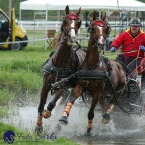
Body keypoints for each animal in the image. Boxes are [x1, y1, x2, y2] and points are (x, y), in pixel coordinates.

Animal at [34, 5, 86, 133]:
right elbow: (41, 105)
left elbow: (51, 104)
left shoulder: (61, 86)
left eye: (78, 22)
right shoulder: (46, 85)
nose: (71, 37)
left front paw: (47, 113)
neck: (59, 63)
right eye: (65, 20)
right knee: (65, 99)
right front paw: (38, 127)